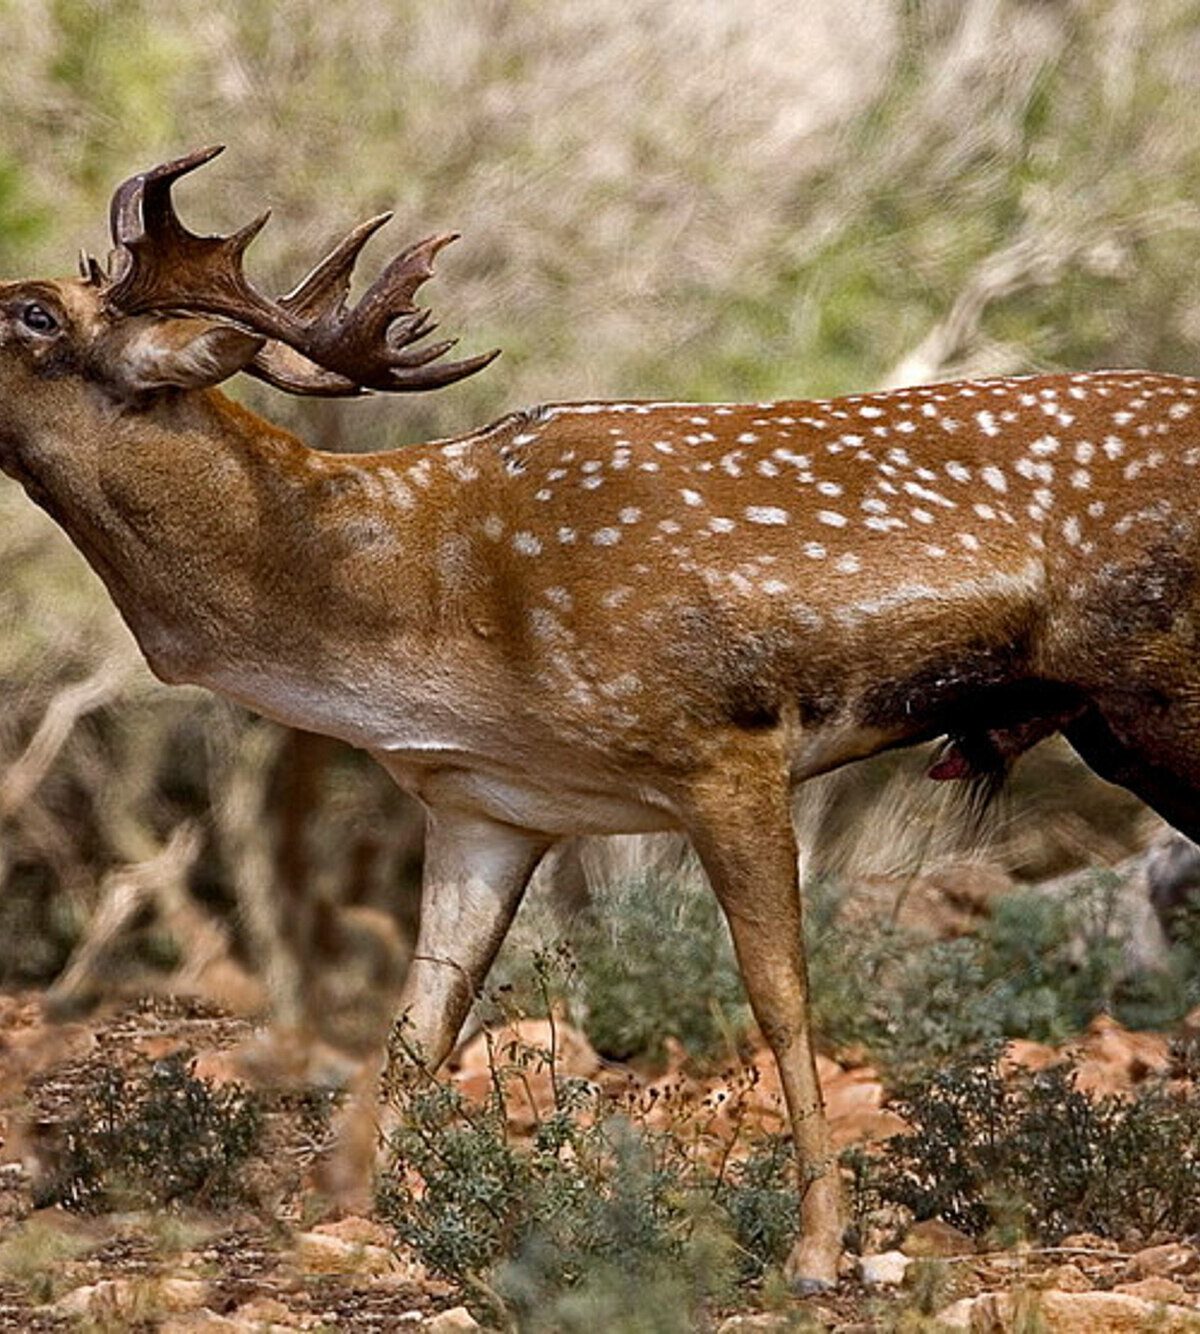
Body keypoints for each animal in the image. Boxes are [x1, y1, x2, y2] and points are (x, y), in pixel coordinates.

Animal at [1, 144, 1197, 1290]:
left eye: (36, 313)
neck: (416, 606)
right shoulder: (486, 806)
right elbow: (420, 1023)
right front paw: (341, 1214)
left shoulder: (722, 743)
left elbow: (780, 999)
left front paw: (815, 1255)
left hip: (1157, 702)